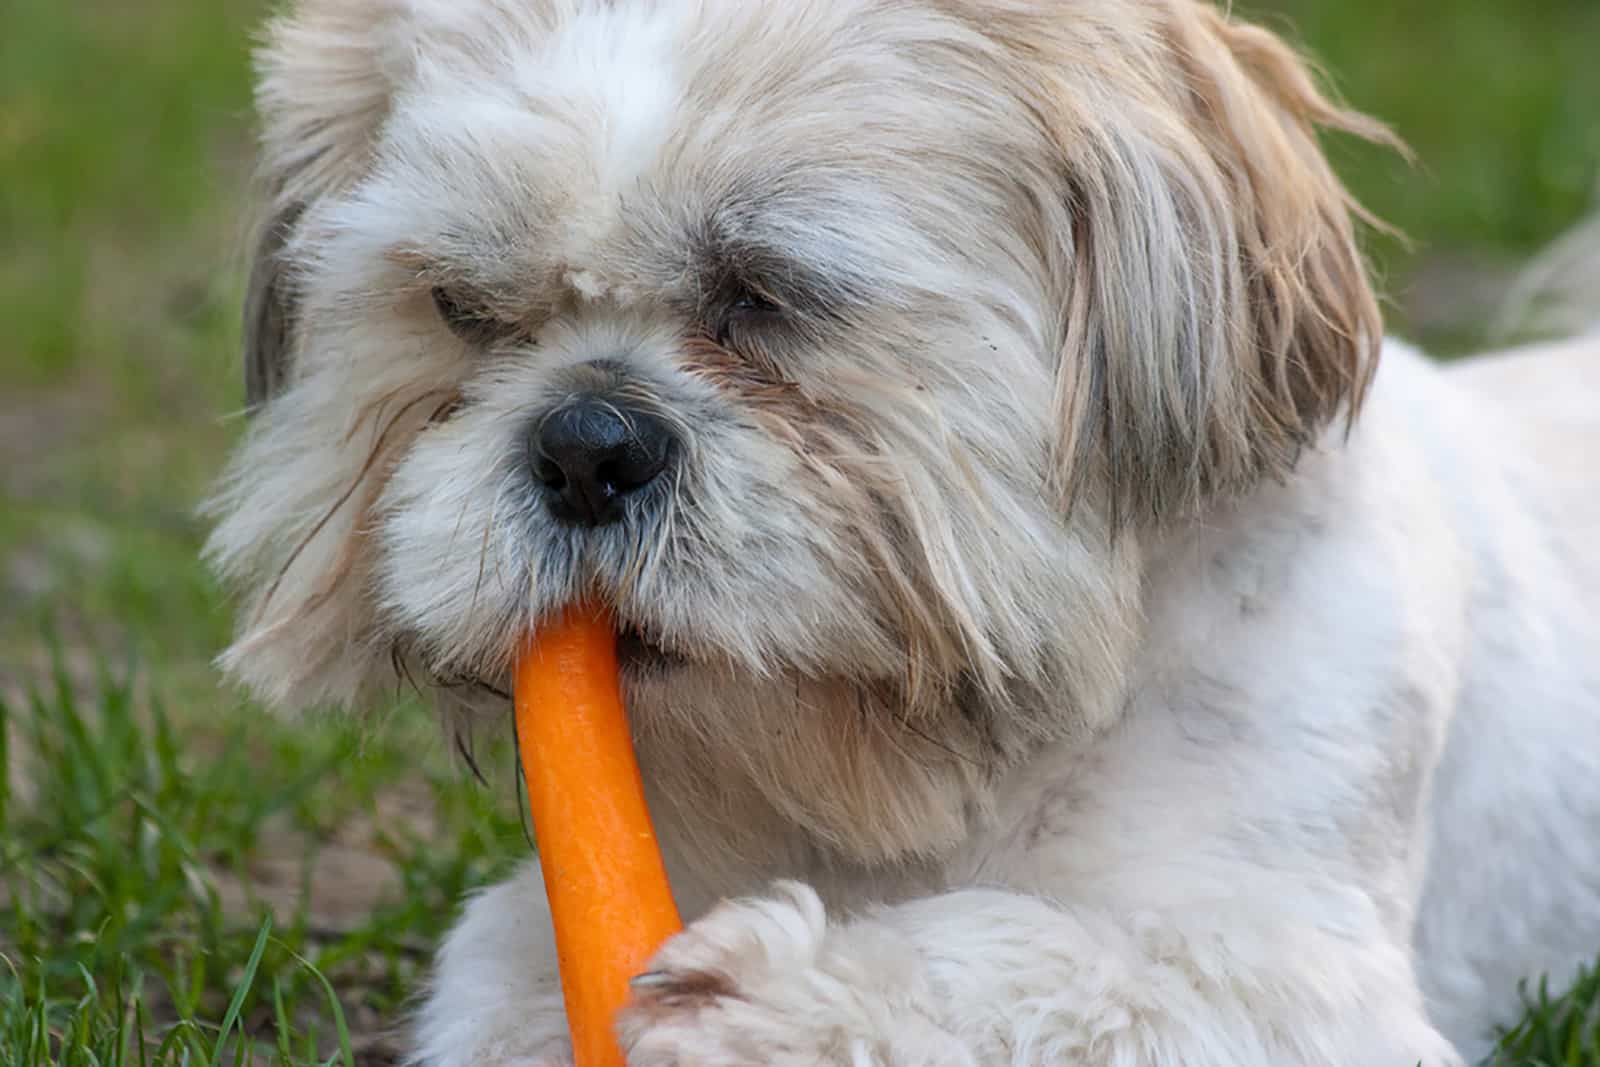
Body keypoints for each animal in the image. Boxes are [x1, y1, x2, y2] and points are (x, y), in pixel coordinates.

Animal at [209, 2, 1600, 1067]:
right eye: (462, 306)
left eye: (767, 296)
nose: (585, 441)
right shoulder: (538, 929)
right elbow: (509, 983)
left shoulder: (1282, 982)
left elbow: (1050, 969)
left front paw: (777, 1002)